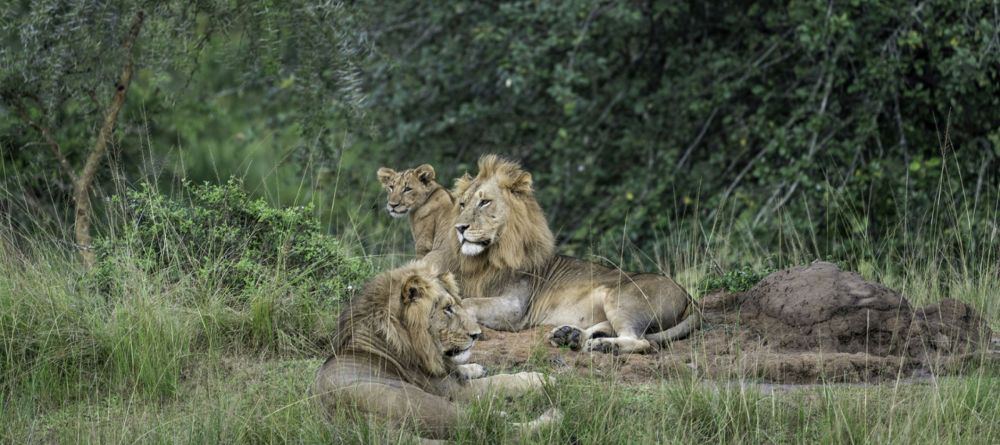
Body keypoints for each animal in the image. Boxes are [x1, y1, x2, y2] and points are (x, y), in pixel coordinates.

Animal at [311, 261, 560, 442]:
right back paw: (551, 417)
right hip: (432, 405)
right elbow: (500, 382)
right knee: (496, 430)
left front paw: (474, 367)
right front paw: (539, 378)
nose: (477, 334)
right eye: (447, 309)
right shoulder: (454, 391)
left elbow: (462, 368)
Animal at [450, 154, 700, 354]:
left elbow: (468, 302)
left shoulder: (516, 309)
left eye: (484, 202)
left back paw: (601, 345)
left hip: (621, 297)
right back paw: (570, 335)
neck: (487, 258)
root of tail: (689, 295)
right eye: (462, 204)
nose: (459, 228)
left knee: (643, 341)